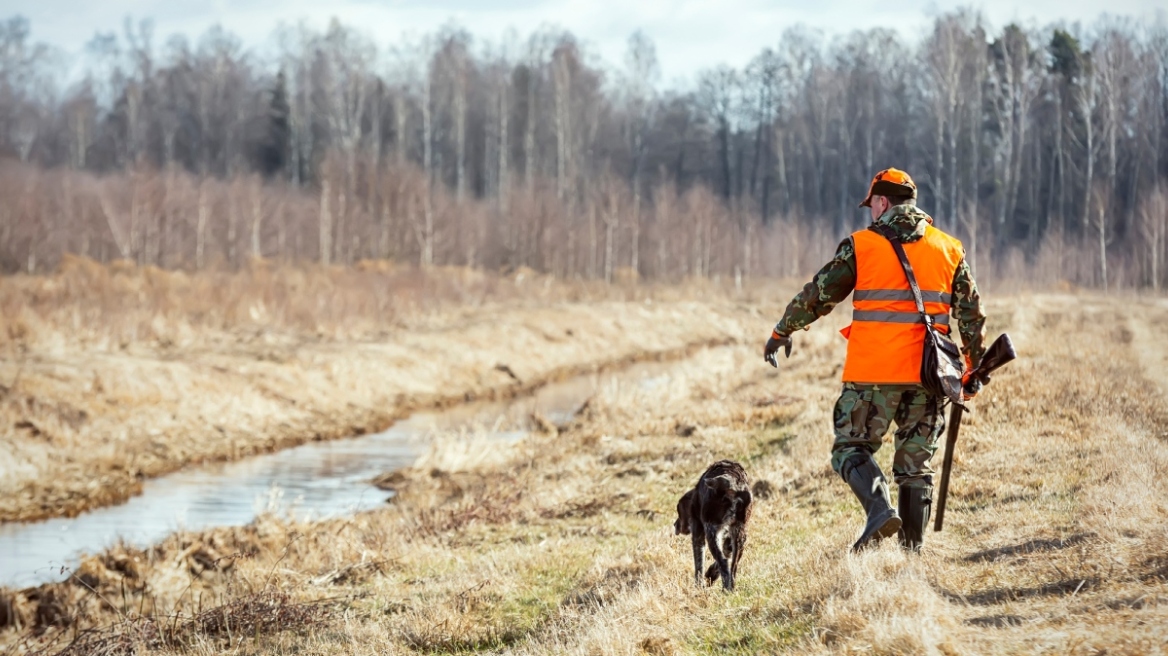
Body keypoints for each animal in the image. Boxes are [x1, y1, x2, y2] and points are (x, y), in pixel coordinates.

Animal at [672, 457, 752, 590]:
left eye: (678, 511)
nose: (675, 525)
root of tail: (732, 483)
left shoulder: (698, 533)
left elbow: (699, 565)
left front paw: (699, 587)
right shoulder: (729, 537)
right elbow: (726, 553)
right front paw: (710, 575)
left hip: (711, 532)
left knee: (723, 563)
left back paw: (726, 590)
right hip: (739, 534)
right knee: (732, 566)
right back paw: (731, 588)